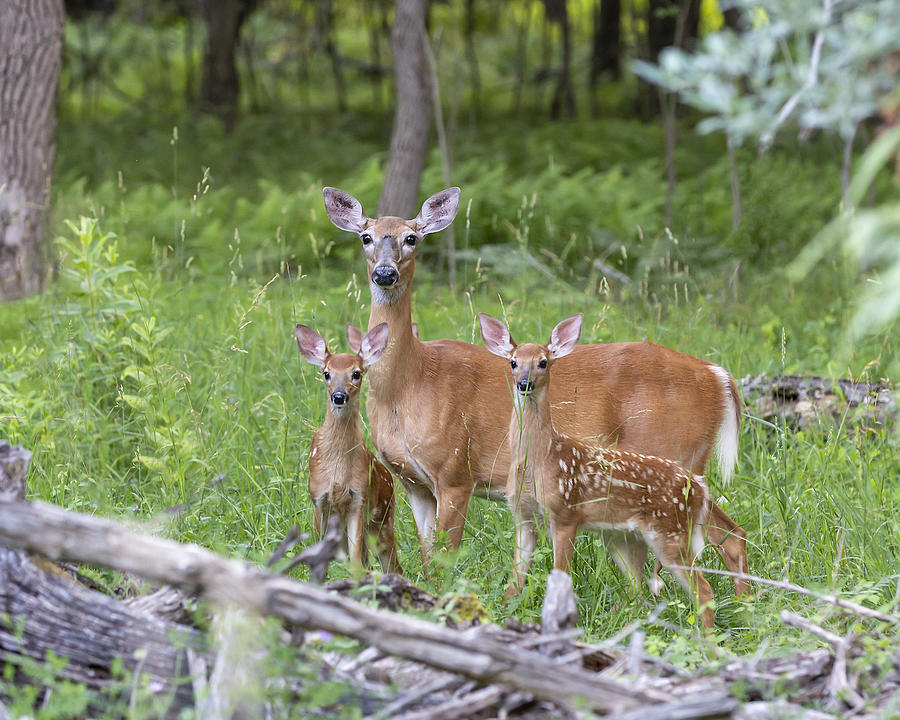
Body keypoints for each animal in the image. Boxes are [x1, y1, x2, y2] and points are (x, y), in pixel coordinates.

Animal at [322, 186, 744, 592]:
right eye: (365, 237)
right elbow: (428, 561)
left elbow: (445, 559)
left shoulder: (456, 471)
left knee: (728, 537)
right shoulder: (414, 482)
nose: (385, 273)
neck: (409, 385)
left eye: (411, 238)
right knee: (733, 535)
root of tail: (719, 376)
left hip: (674, 456)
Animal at [482, 312, 748, 628]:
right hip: (623, 536)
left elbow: (560, 577)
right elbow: (514, 585)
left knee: (702, 588)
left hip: (669, 527)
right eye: (513, 361)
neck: (542, 457)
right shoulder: (523, 517)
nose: (524, 383)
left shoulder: (566, 513)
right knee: (642, 588)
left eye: (543, 361)